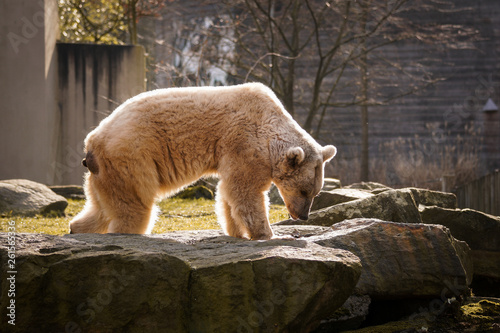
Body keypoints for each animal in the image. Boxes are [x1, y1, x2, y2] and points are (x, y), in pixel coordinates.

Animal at [70, 82, 336, 239]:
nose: (303, 216)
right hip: (131, 158)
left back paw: (77, 229)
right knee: (135, 207)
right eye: (304, 191)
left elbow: (229, 192)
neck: (270, 123)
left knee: (101, 207)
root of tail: (92, 144)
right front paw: (268, 234)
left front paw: (236, 232)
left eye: (316, 193)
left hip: (105, 172)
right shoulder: (244, 142)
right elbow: (245, 192)